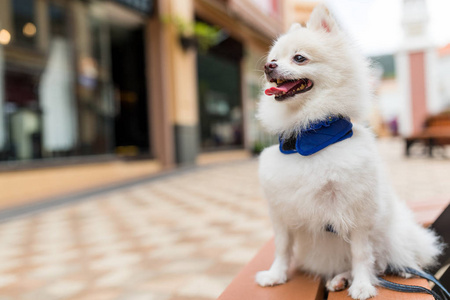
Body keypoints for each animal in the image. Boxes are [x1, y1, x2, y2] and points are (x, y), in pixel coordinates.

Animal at [255, 2, 442, 300]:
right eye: (273, 58)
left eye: (299, 58)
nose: (268, 66)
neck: (309, 135)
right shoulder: (282, 211)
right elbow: (282, 248)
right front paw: (276, 275)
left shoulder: (357, 213)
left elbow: (361, 254)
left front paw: (363, 285)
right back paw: (340, 278)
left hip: (397, 233)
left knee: (388, 258)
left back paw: (400, 270)